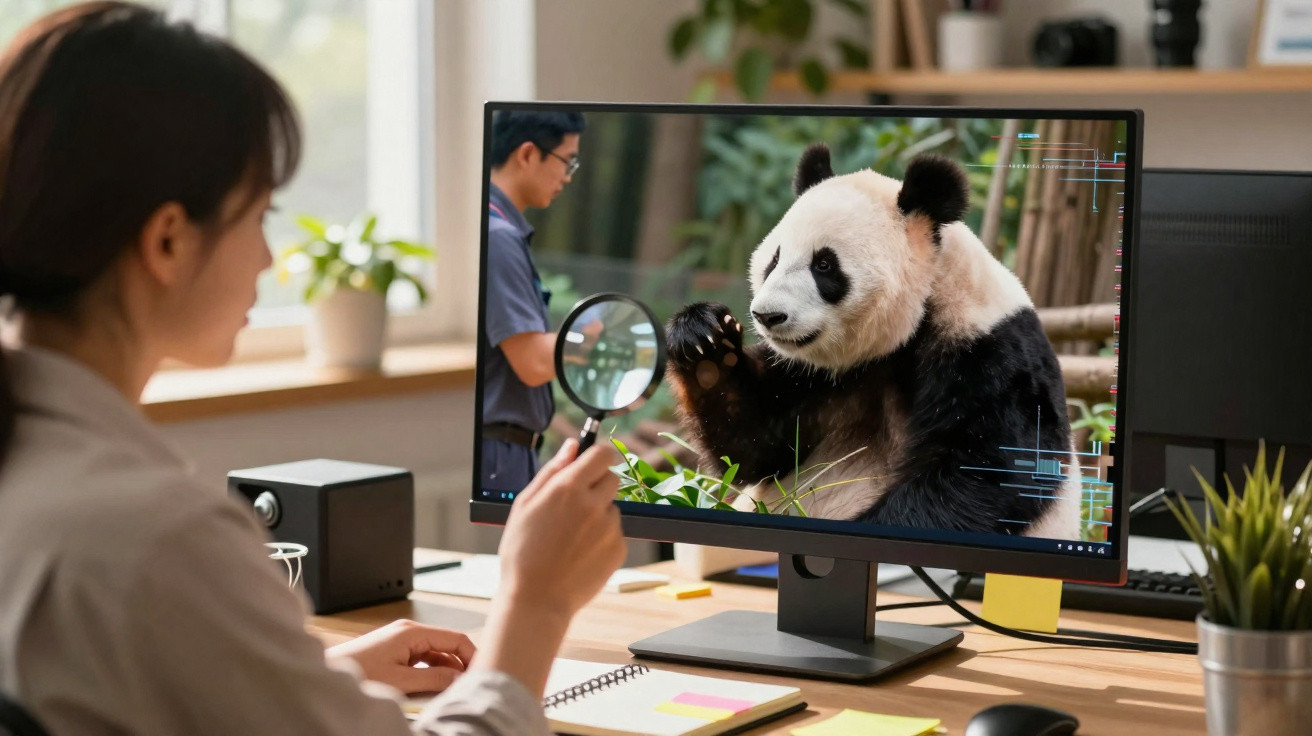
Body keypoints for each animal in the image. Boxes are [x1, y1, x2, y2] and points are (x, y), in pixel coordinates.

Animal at [664, 144, 1082, 539]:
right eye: (774, 259)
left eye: (824, 265)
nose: (768, 316)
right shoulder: (812, 375)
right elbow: (756, 444)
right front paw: (705, 345)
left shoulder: (992, 360)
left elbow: (985, 478)